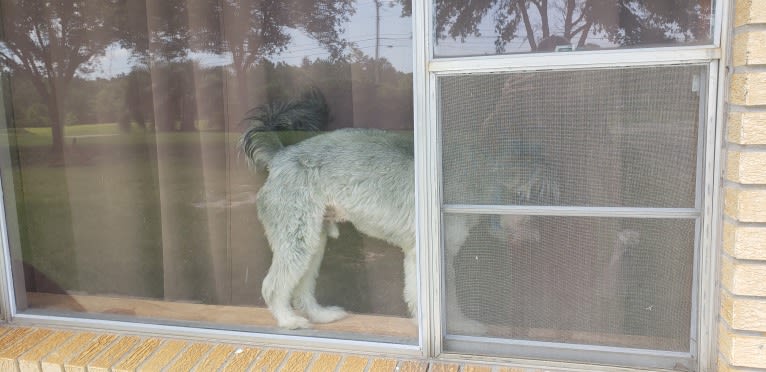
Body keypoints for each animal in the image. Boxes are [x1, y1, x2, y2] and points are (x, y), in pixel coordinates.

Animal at [243, 90, 560, 332]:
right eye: (539, 195)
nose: (543, 232)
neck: (482, 173)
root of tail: (281, 155)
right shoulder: (432, 252)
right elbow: (443, 297)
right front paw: (456, 325)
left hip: (314, 239)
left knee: (302, 286)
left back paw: (321, 315)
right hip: (296, 235)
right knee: (273, 285)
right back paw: (288, 321)